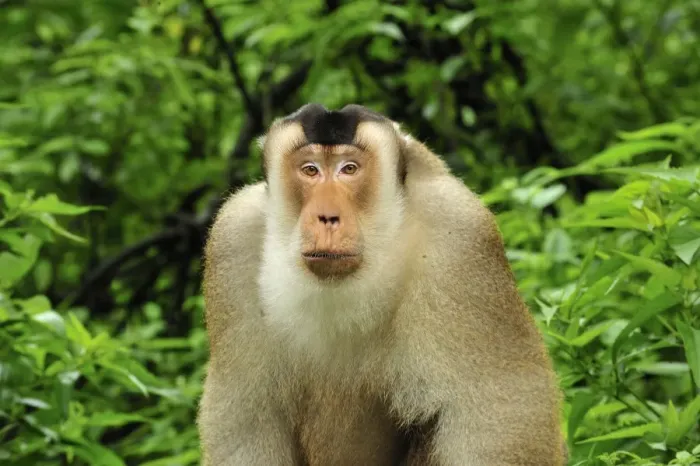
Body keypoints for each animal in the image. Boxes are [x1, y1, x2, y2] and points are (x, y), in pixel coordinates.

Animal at [197, 103, 567, 466]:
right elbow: (246, 419)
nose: (327, 217)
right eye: (310, 170)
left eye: (349, 169)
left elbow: (499, 415)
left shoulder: (460, 235)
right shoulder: (232, 238)